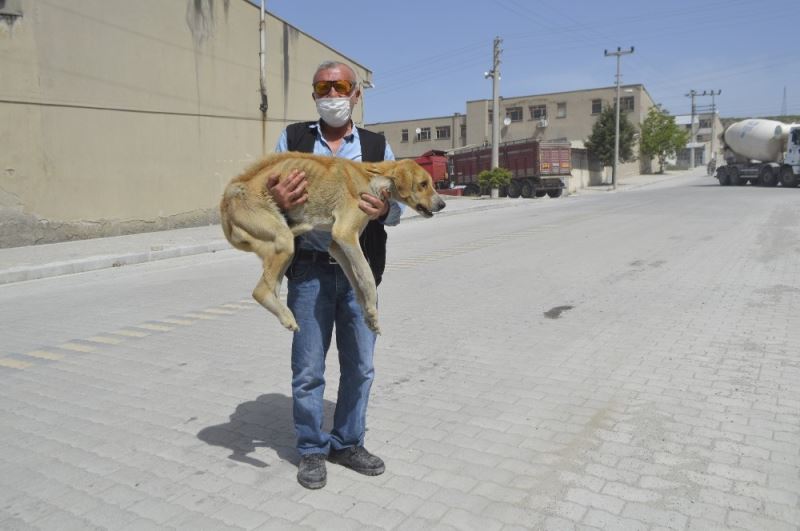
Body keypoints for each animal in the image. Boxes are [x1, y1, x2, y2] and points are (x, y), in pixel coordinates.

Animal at [219, 153, 444, 332]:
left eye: (431, 183)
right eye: (423, 184)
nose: (442, 204)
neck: (372, 177)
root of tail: (225, 204)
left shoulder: (337, 245)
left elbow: (356, 279)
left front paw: (367, 314)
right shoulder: (345, 234)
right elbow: (368, 276)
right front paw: (373, 309)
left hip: (281, 247)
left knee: (266, 287)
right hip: (282, 239)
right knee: (260, 292)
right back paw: (288, 318)